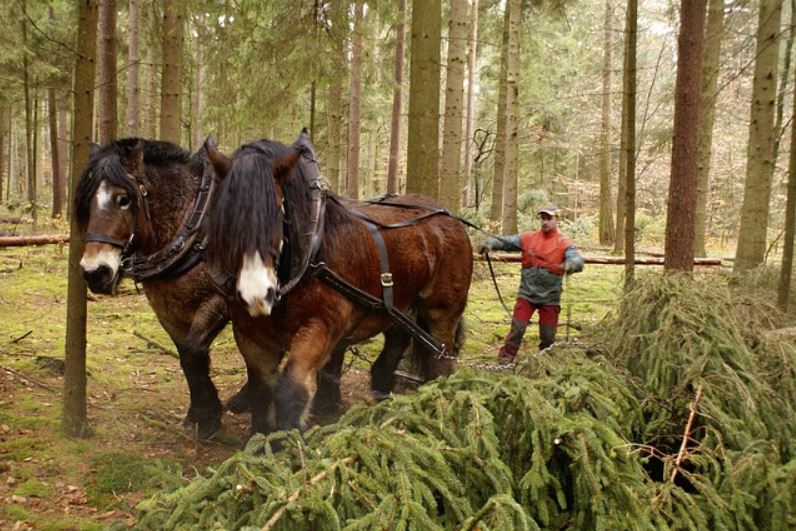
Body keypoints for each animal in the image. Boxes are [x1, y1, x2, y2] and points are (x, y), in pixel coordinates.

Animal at [76, 138, 253, 440]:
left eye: (124, 200)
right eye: (87, 202)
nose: (94, 272)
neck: (192, 229)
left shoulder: (218, 301)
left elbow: (193, 351)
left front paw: (209, 419)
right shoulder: (166, 310)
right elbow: (187, 356)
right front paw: (197, 413)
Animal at [205, 134, 472, 436]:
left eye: (278, 211)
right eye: (224, 217)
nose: (257, 296)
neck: (308, 255)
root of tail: (448, 217)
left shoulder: (322, 324)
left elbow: (291, 388)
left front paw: (289, 440)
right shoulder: (249, 334)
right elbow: (262, 391)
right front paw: (261, 440)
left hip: (442, 311)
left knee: (441, 359)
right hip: (401, 308)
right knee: (395, 346)